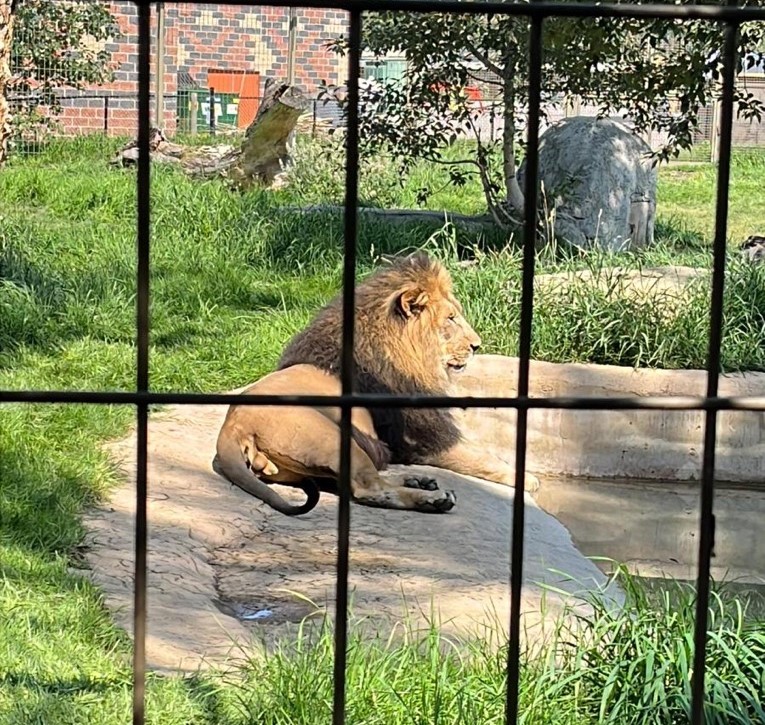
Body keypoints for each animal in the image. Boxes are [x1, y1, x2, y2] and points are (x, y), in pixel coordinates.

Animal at [212, 252, 536, 512]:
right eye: (451, 318)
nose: (476, 345)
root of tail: (232, 426)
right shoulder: (422, 437)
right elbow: (481, 458)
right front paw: (530, 479)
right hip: (333, 437)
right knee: (369, 488)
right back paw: (434, 499)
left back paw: (419, 481)